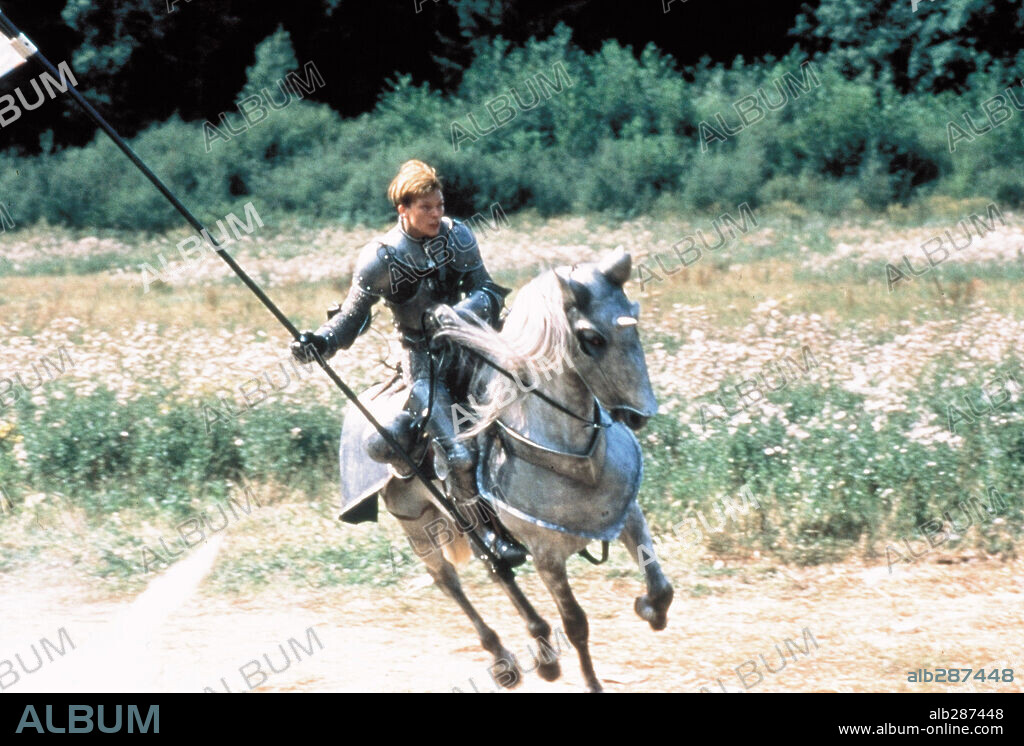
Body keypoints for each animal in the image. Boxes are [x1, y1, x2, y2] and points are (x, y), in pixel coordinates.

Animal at [335, 251, 671, 691]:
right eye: (592, 338)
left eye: (634, 315)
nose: (640, 414)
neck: (575, 459)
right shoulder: (546, 555)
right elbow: (576, 624)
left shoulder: (629, 514)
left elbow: (661, 586)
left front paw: (649, 609)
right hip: (416, 521)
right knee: (449, 580)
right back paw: (502, 657)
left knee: (496, 570)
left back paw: (541, 653)